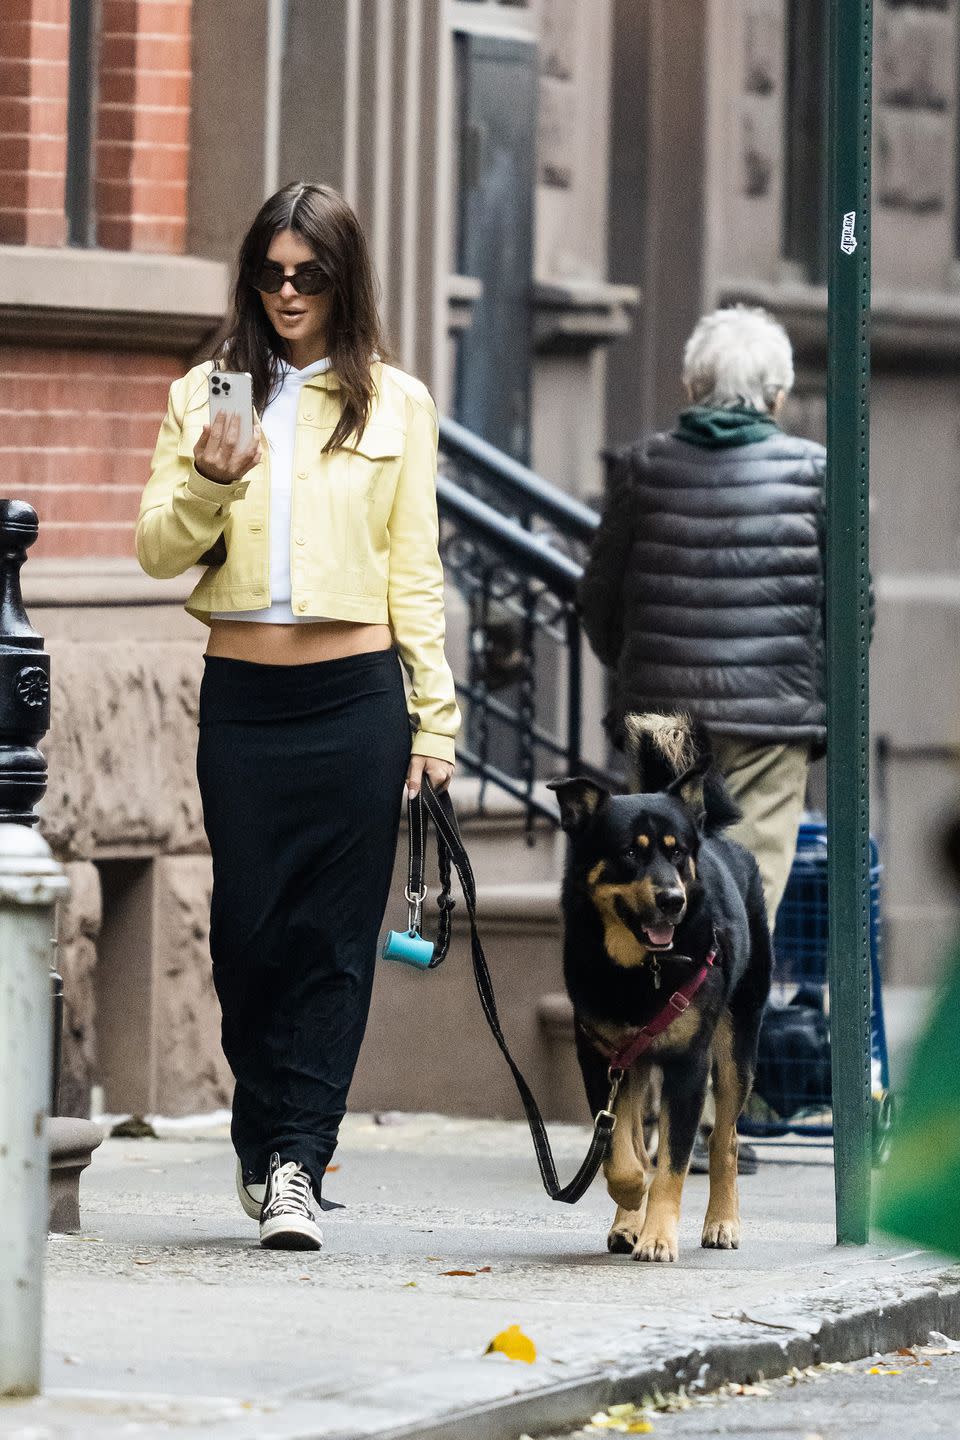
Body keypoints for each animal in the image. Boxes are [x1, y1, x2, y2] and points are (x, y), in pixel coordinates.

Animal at [546, 717, 771, 1261]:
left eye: (677, 853)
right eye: (630, 851)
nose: (672, 900)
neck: (639, 969)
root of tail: (714, 832)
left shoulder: (688, 1065)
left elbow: (672, 1162)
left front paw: (659, 1236)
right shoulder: (603, 1059)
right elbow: (622, 1155)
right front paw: (631, 1201)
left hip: (735, 1046)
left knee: (725, 1141)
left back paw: (722, 1223)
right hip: (639, 1065)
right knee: (635, 1137)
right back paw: (628, 1220)